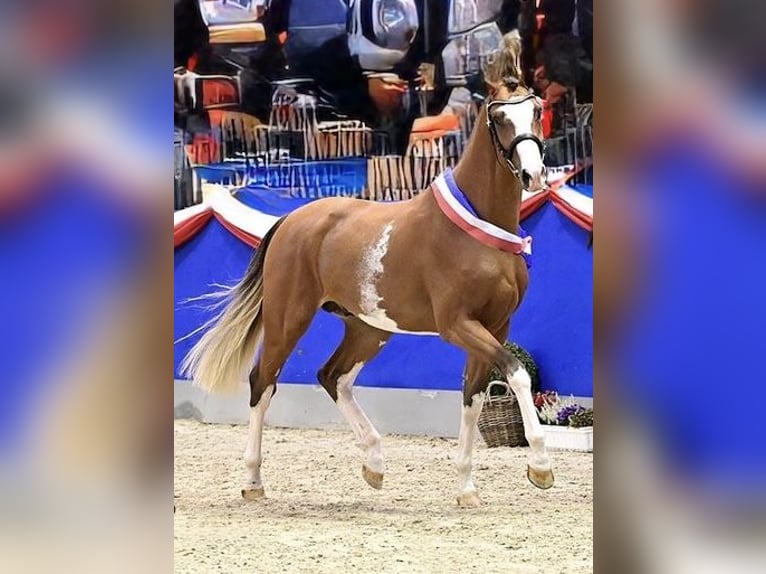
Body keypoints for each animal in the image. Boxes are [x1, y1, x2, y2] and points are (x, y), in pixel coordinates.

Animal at [181, 78, 554, 508]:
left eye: (537, 110)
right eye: (500, 117)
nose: (533, 174)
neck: (478, 232)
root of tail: (290, 218)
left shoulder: (495, 326)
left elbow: (473, 397)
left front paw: (466, 488)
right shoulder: (457, 325)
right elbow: (516, 373)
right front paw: (540, 466)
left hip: (368, 329)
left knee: (333, 377)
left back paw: (374, 464)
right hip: (288, 319)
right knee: (263, 381)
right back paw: (254, 481)